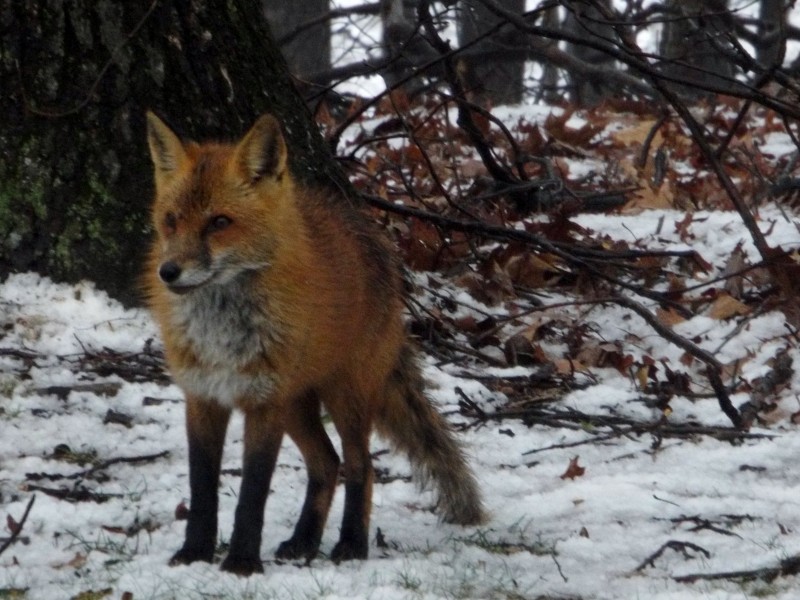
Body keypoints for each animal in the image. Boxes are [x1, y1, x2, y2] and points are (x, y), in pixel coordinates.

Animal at [142, 112, 482, 576]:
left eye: (219, 222)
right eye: (171, 220)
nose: (169, 272)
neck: (223, 331)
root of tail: (378, 245)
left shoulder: (264, 402)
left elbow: (252, 493)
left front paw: (241, 563)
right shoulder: (203, 397)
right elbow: (202, 489)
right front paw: (194, 553)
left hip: (344, 396)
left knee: (360, 466)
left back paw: (351, 544)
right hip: (297, 404)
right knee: (326, 464)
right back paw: (304, 541)